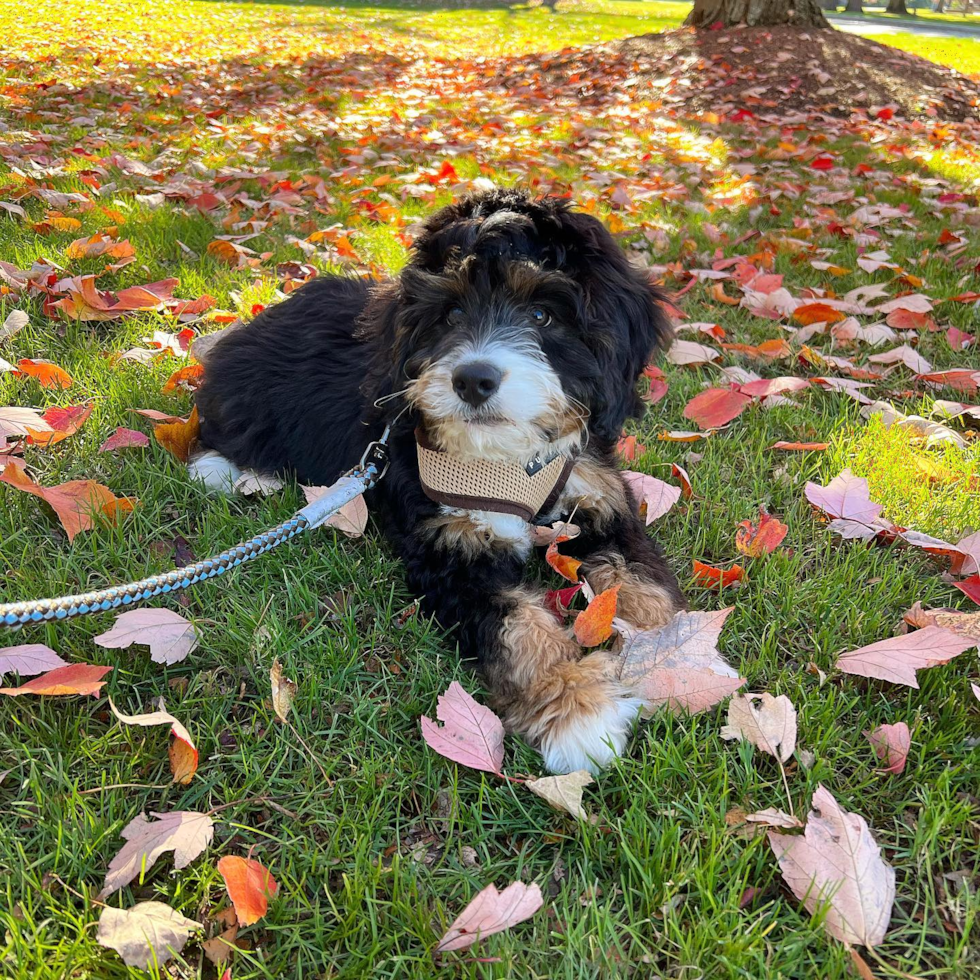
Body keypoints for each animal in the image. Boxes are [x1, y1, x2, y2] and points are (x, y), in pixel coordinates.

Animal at [191, 188, 680, 772]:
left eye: (543, 314)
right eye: (451, 313)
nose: (473, 379)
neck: (505, 463)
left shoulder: (597, 494)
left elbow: (641, 580)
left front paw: (679, 657)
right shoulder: (451, 547)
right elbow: (517, 627)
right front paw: (576, 704)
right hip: (251, 392)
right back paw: (220, 468)